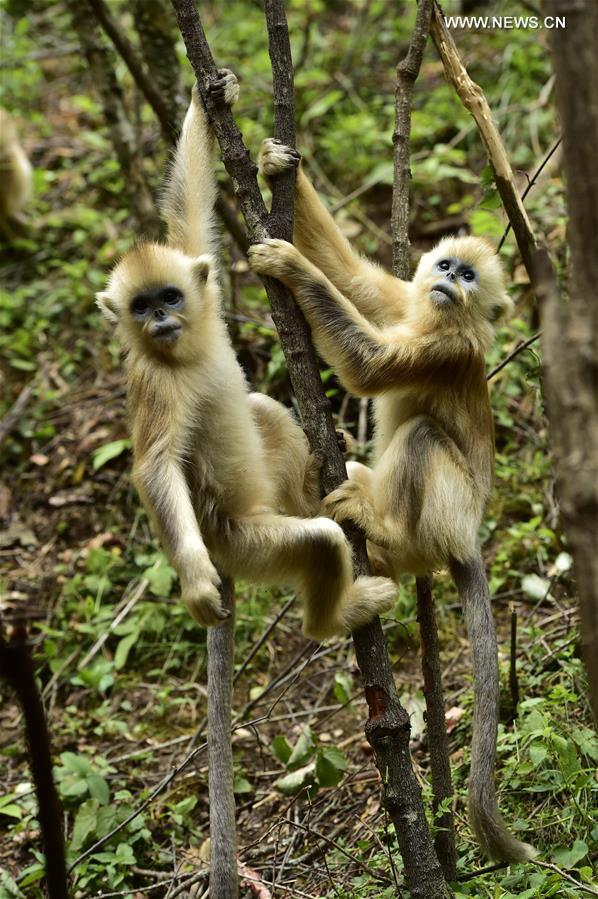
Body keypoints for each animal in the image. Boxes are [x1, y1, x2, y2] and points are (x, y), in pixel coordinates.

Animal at [96, 75, 396, 640]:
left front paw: (210, 99)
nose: (158, 319)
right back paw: (340, 613)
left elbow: (189, 206)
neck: (185, 357)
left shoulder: (204, 290)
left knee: (262, 410)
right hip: (246, 543)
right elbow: (155, 468)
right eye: (140, 307)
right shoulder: (151, 382)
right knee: (319, 542)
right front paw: (195, 583)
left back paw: (320, 481)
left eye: (169, 297)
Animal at [248, 141, 540, 864]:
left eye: (469, 276)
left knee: (423, 435)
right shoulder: (409, 302)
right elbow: (355, 281)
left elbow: (371, 366)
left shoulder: (446, 346)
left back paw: (379, 531)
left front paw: (288, 265)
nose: (450, 280)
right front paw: (277, 166)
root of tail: (466, 539)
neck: (439, 315)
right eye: (446, 266)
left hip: (445, 512)